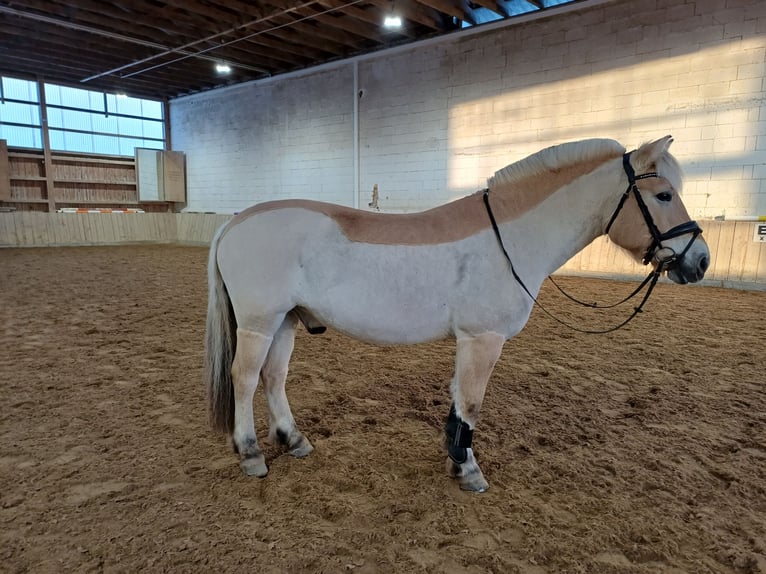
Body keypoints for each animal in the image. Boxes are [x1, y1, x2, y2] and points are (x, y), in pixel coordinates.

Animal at [204, 135, 710, 492]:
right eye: (664, 195)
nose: (701, 260)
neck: (511, 236)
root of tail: (234, 222)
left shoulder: (471, 342)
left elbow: (457, 405)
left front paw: (455, 457)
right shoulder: (483, 339)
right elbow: (471, 403)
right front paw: (468, 471)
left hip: (285, 321)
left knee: (273, 378)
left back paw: (294, 441)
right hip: (259, 323)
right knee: (244, 378)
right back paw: (250, 454)